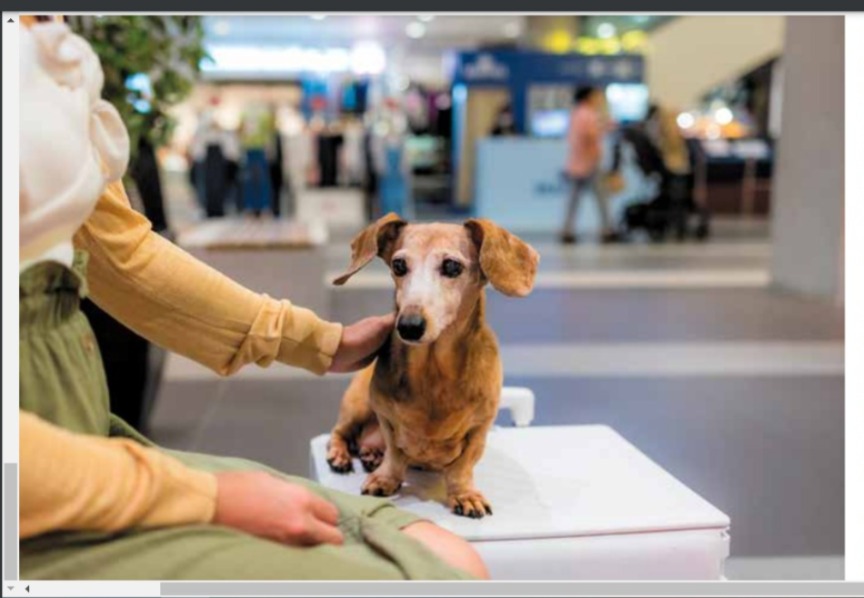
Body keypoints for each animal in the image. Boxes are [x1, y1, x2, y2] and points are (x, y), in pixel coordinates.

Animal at [328, 214, 536, 520]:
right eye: (398, 265)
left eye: (452, 266)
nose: (408, 326)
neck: (433, 372)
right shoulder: (385, 416)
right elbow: (395, 453)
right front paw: (385, 478)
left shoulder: (480, 428)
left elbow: (462, 466)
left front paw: (464, 494)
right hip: (357, 405)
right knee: (340, 432)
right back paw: (341, 455)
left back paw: (370, 453)